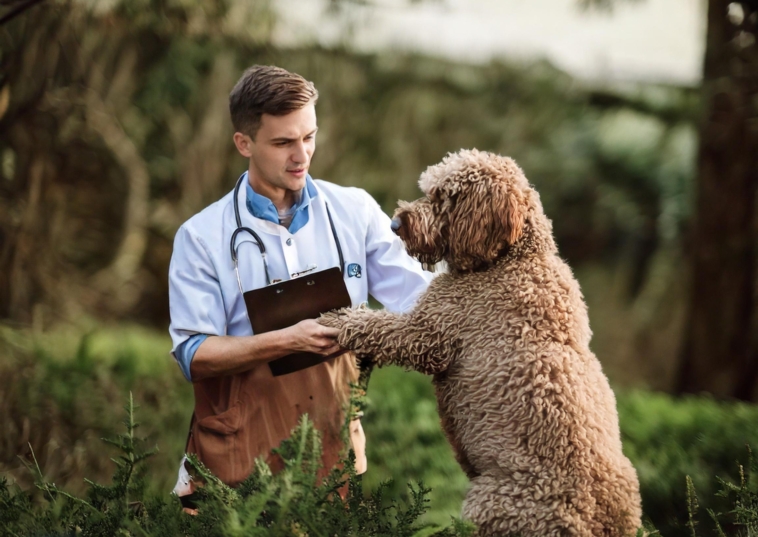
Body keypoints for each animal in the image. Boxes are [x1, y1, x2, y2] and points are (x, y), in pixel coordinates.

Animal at [318, 149, 644, 532]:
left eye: (443, 197)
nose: (396, 224)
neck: (510, 258)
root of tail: (598, 523)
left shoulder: (428, 332)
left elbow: (376, 325)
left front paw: (339, 318)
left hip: (491, 502)